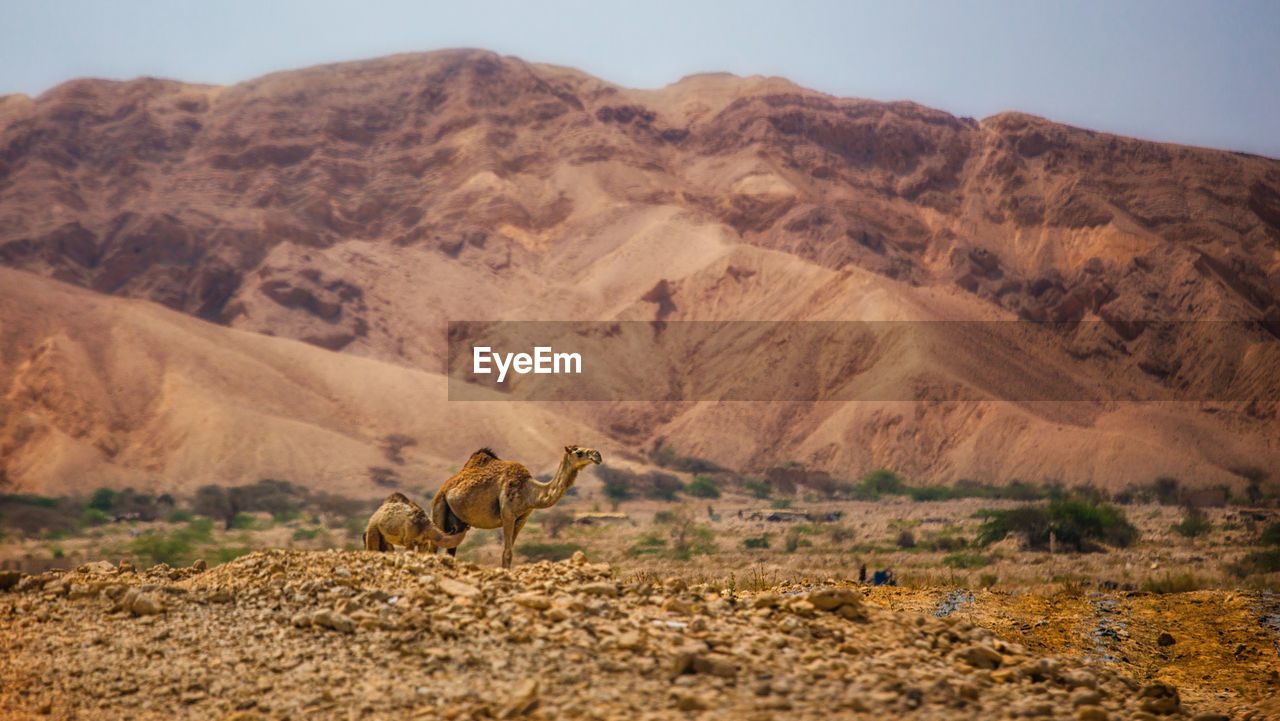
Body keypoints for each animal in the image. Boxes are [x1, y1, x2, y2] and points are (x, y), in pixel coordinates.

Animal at [422, 445, 596, 571]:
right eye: (579, 452)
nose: (597, 455)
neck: (528, 491)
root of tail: (442, 490)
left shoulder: (522, 518)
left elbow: (510, 550)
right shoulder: (508, 515)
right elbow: (507, 552)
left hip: (457, 522)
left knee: (451, 547)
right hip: (439, 506)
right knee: (434, 546)